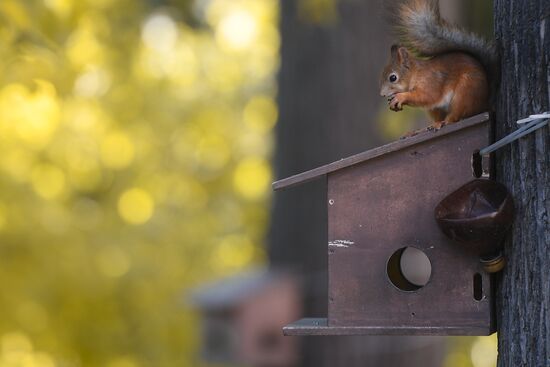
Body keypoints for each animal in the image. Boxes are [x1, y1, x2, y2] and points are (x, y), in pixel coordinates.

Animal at [382, 0, 498, 132]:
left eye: (393, 78)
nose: (382, 94)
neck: (416, 74)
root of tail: (485, 104)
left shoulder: (431, 81)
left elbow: (427, 96)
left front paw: (401, 97)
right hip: (437, 108)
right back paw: (432, 125)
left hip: (465, 92)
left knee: (456, 116)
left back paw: (445, 122)